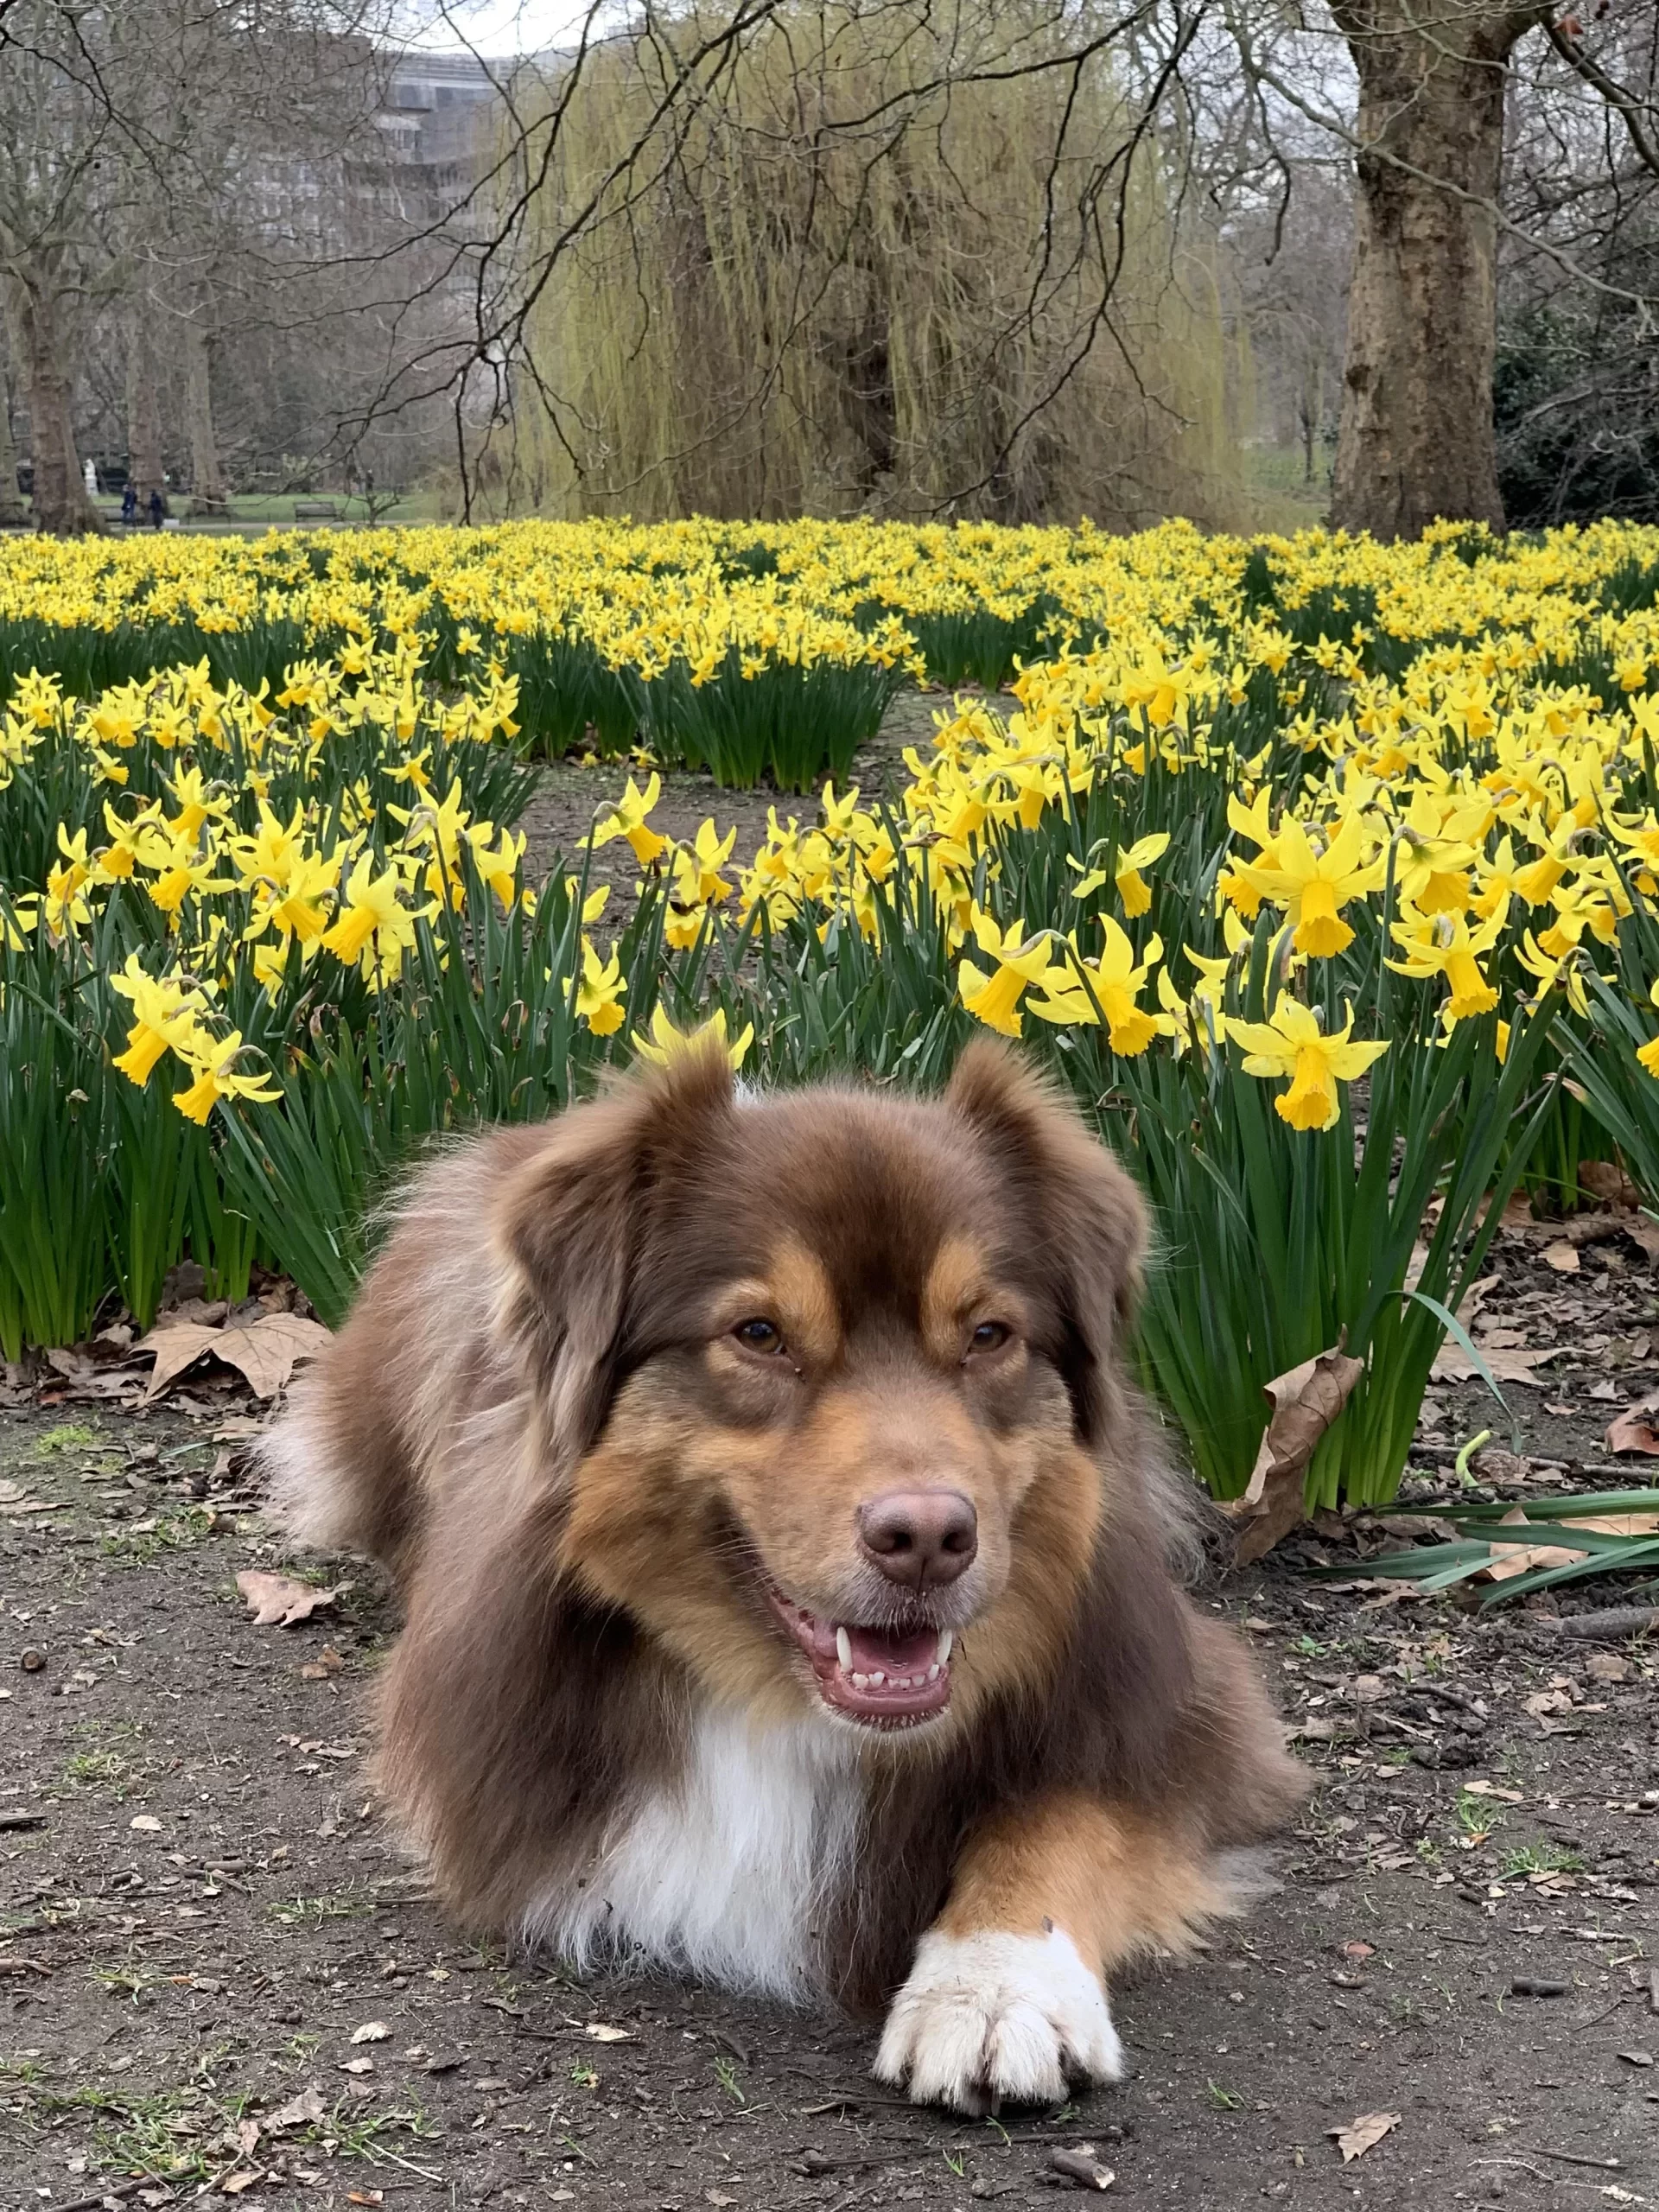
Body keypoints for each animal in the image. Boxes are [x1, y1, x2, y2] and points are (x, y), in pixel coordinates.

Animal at [266, 1044, 1309, 2114]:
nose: (928, 1538)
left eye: (988, 1334)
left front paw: (995, 1984)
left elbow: (1059, 1813)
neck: (797, 1707)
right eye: (759, 1333)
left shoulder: (1178, 1709)